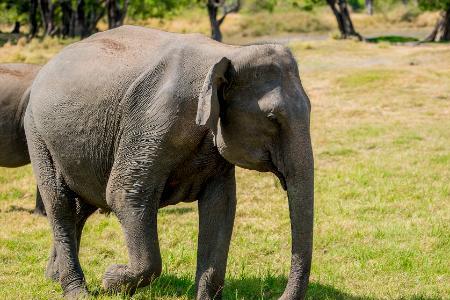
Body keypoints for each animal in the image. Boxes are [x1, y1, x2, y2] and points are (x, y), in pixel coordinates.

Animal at [24, 25, 312, 300]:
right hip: (37, 133)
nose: (276, 295)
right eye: (272, 118)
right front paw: (111, 280)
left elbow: (221, 205)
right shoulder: (155, 119)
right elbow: (124, 194)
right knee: (60, 203)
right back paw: (77, 291)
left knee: (81, 206)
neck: (228, 52)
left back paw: (54, 277)